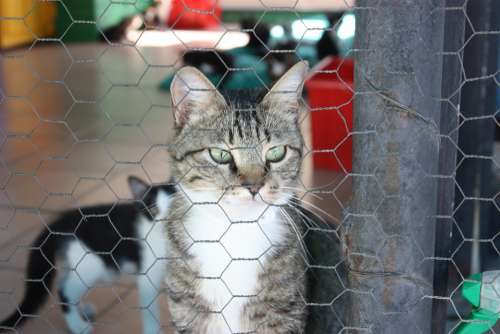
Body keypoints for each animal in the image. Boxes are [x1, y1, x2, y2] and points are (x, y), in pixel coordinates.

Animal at [0, 177, 176, 334]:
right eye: (154, 210)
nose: (166, 223)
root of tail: (58, 223)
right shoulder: (148, 276)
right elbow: (149, 310)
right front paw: (153, 330)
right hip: (92, 264)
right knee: (65, 292)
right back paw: (77, 326)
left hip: (75, 262)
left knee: (64, 284)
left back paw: (82, 310)